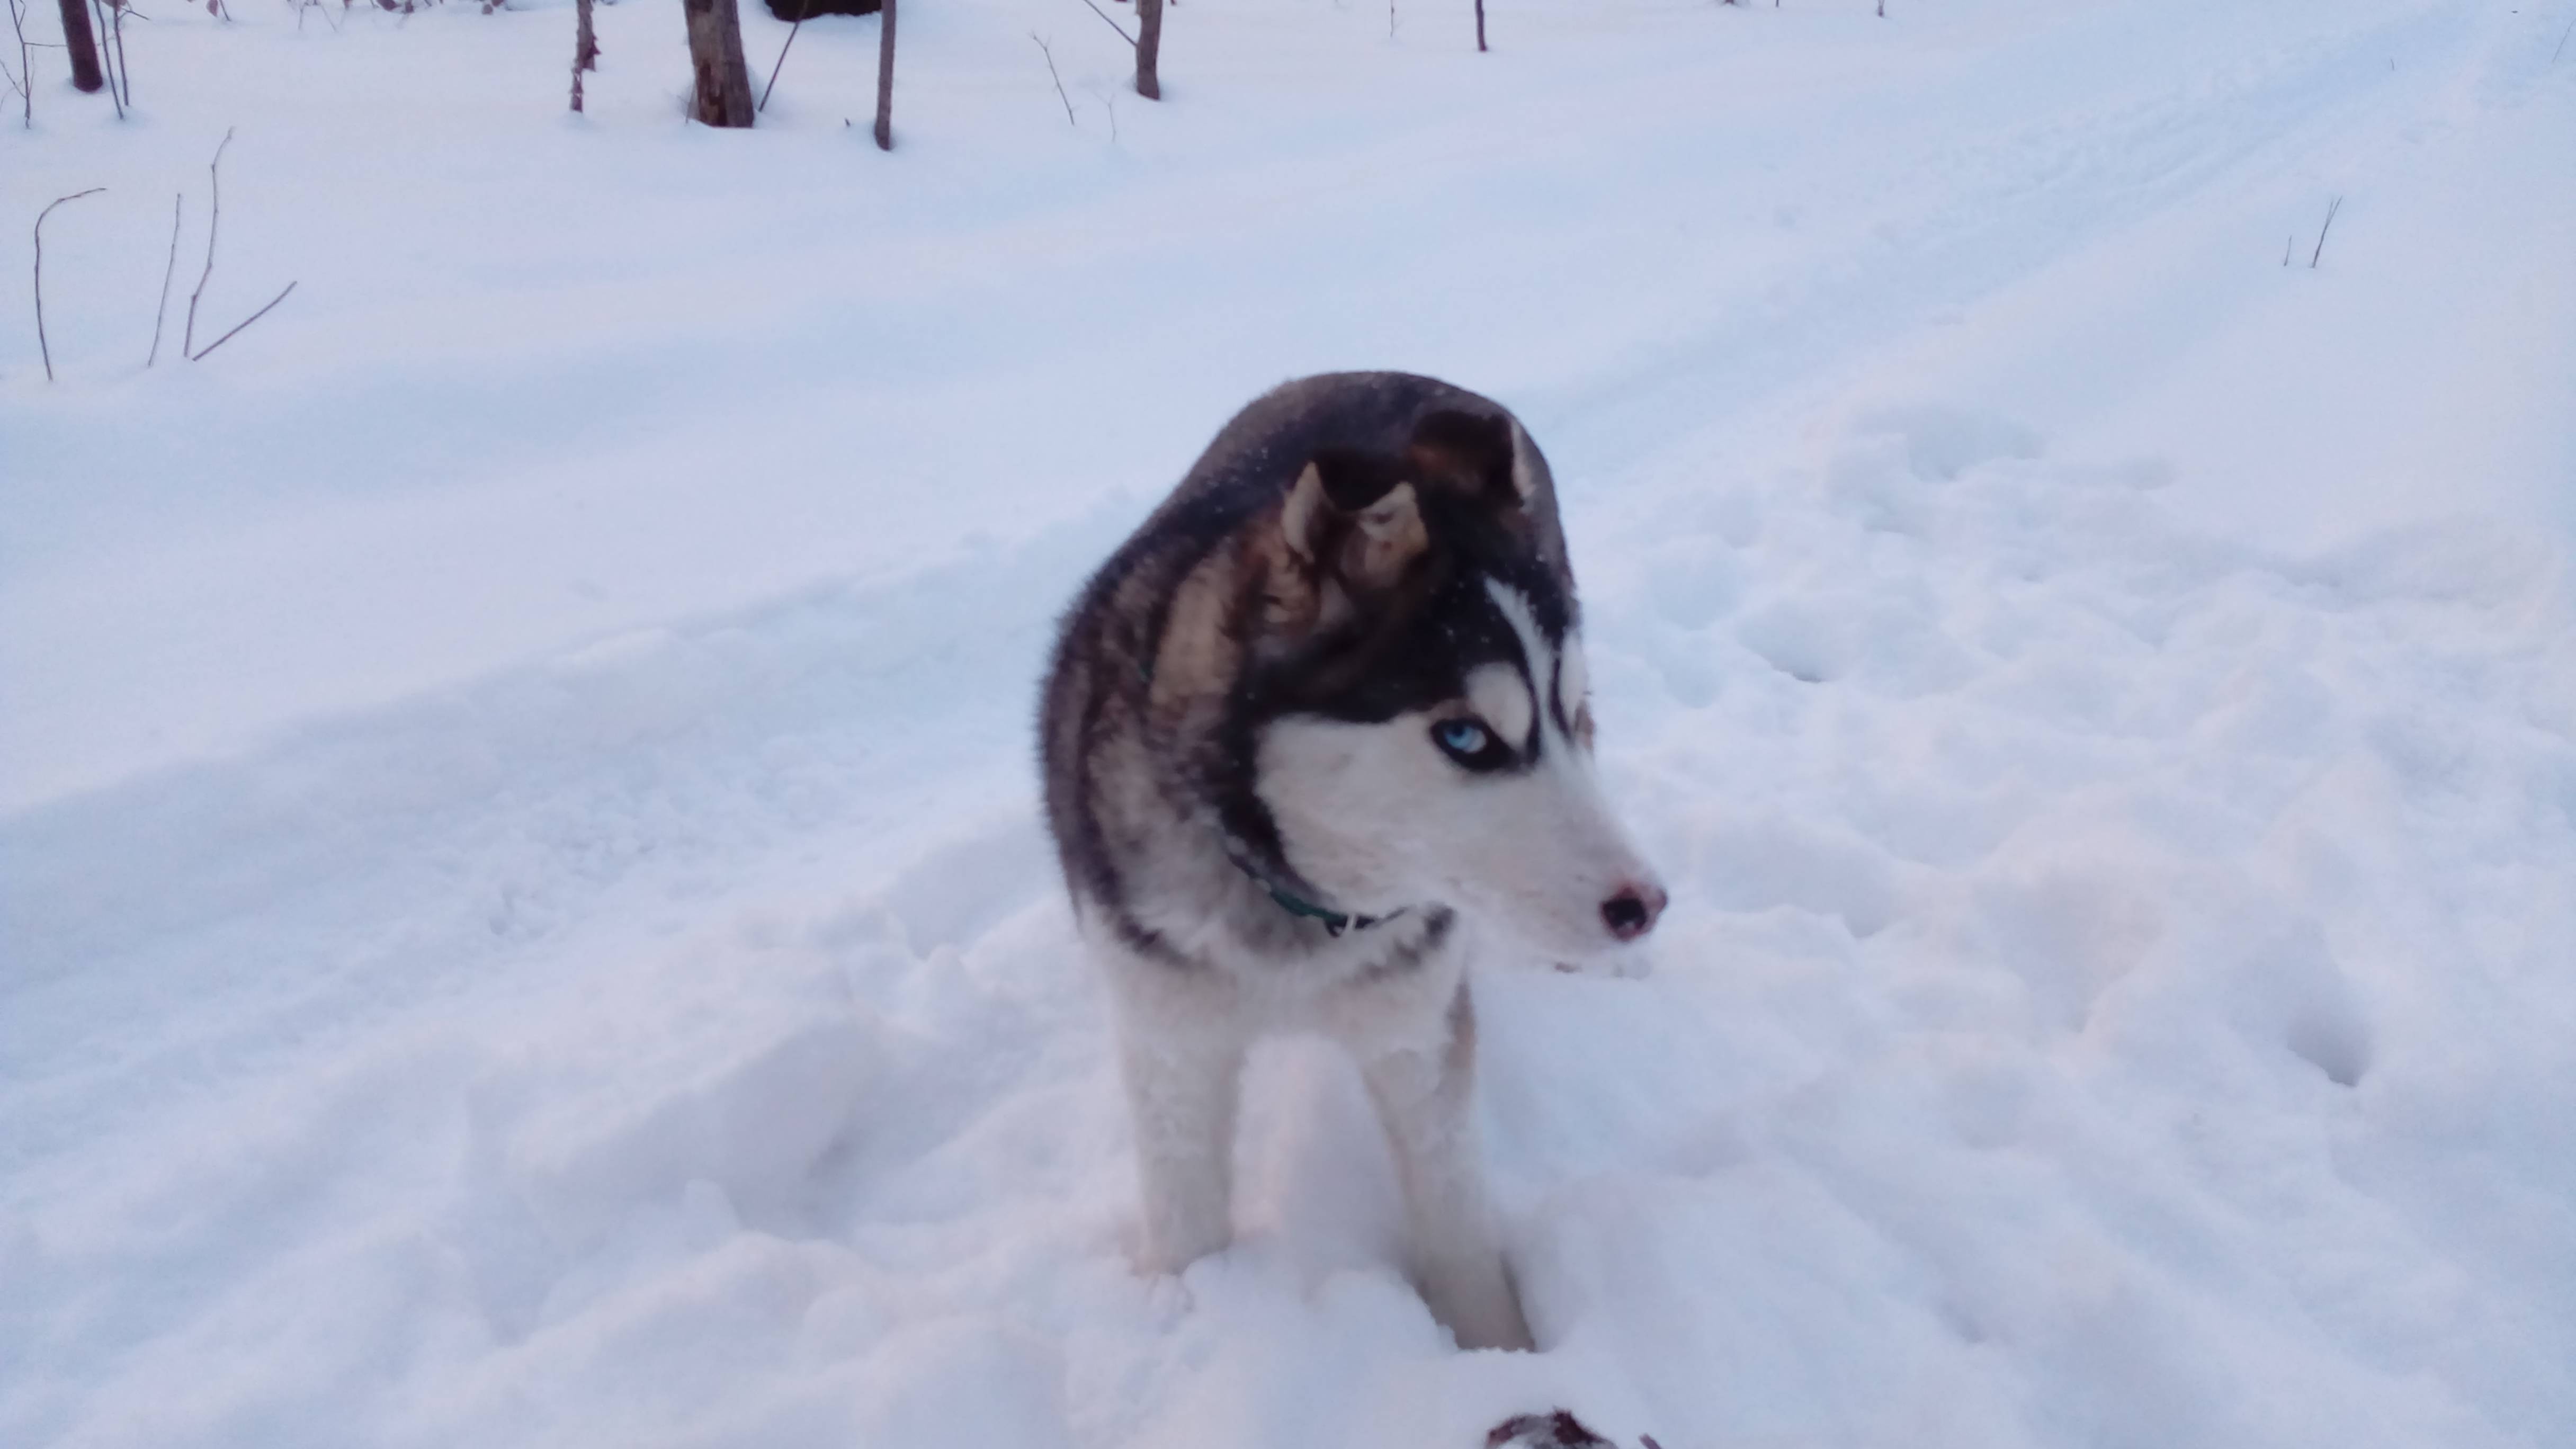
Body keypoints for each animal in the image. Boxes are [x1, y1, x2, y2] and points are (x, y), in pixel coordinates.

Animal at [1045, 369, 1669, 1340]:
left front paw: (1498, 1354)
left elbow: (1455, 1225)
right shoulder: (1172, 1039)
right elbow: (1185, 1225)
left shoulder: (1416, 1031)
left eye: (1562, 714)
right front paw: (1182, 1320)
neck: (1299, 900)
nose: (1643, 904)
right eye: (1465, 736)